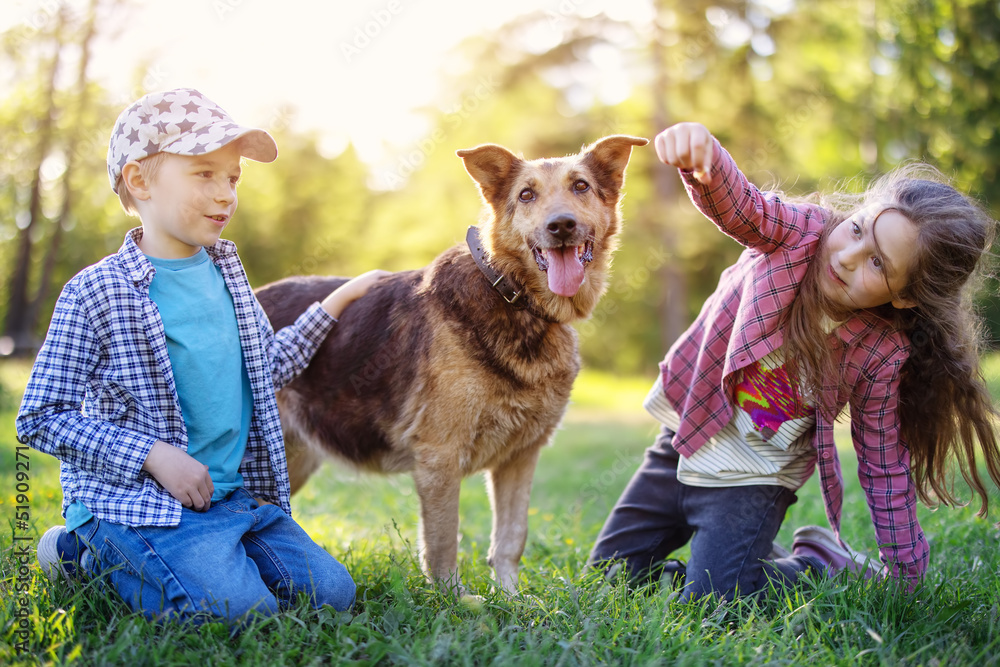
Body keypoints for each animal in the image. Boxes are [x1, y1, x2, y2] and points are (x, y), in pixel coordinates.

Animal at [256, 136, 648, 596]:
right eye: (526, 195)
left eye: (581, 186)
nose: (562, 226)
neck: (511, 295)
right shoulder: (440, 459)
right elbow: (444, 542)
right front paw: (454, 603)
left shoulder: (520, 456)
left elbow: (511, 538)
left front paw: (512, 600)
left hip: (292, 461)